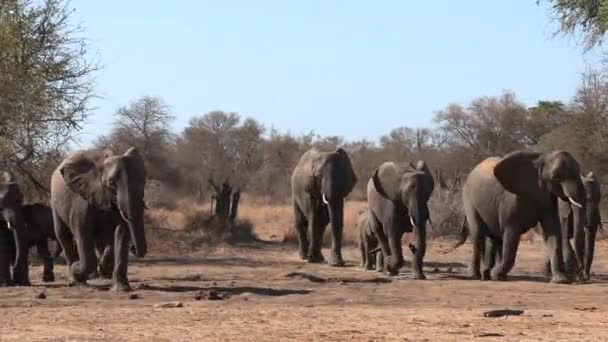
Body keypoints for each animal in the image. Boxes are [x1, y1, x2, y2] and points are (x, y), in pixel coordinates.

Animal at [50, 147, 148, 292]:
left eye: (144, 183)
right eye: (111, 184)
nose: (134, 249)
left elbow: (122, 233)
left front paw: (122, 289)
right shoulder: (82, 200)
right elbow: (82, 233)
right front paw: (76, 269)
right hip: (54, 202)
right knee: (62, 234)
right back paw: (75, 279)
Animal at [464, 150, 588, 284]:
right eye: (556, 177)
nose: (581, 277)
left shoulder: (548, 198)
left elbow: (553, 231)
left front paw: (560, 280)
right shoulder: (512, 199)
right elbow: (511, 233)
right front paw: (496, 275)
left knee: (496, 237)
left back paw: (489, 275)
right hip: (469, 198)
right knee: (477, 234)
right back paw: (477, 276)